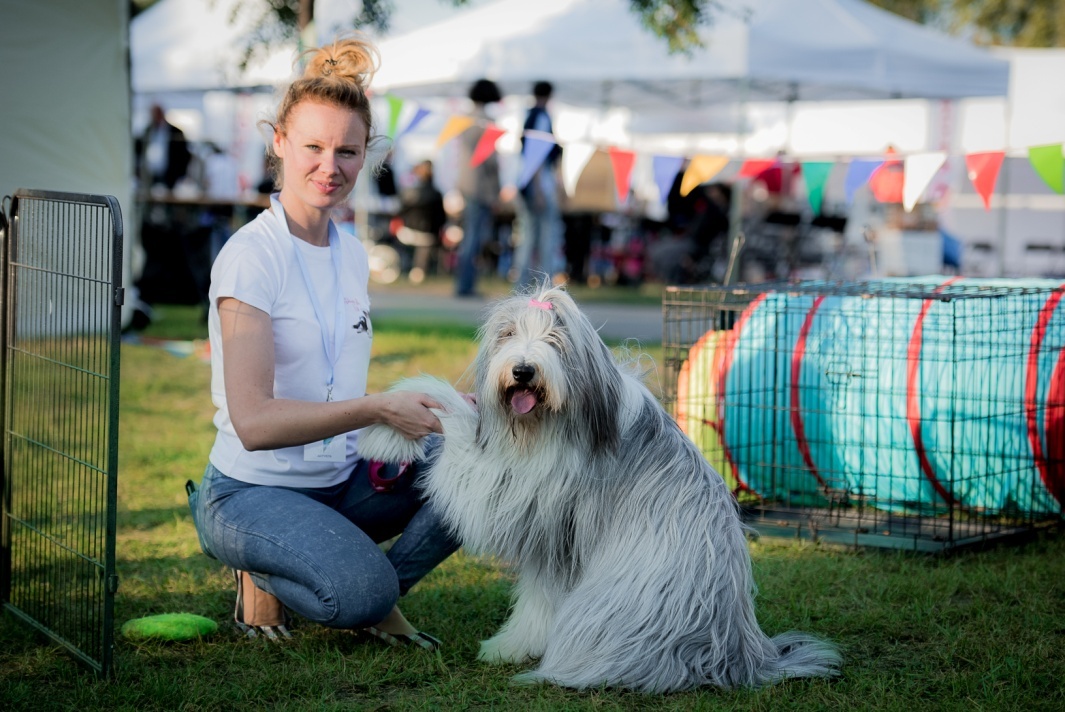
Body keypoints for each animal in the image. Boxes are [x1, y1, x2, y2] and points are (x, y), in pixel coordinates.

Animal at [357, 285, 839, 689]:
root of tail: (740, 659)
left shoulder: (529, 498)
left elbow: (452, 416)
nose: (523, 370)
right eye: (508, 334)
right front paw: (511, 647)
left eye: (556, 337)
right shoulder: (548, 529)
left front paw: (391, 426)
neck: (551, 419)